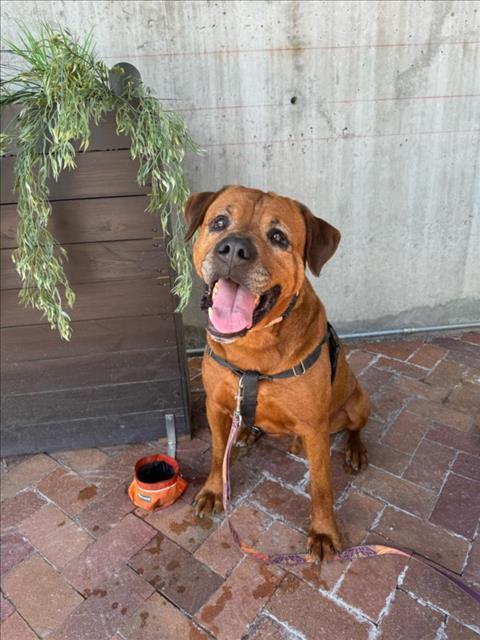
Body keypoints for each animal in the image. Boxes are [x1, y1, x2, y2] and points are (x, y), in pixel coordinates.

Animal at [186, 184, 370, 560]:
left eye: (278, 237)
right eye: (219, 222)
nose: (234, 248)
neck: (253, 349)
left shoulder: (314, 426)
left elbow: (321, 485)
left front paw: (323, 531)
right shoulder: (215, 405)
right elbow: (217, 453)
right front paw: (213, 491)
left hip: (359, 401)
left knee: (355, 428)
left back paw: (354, 449)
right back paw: (247, 432)